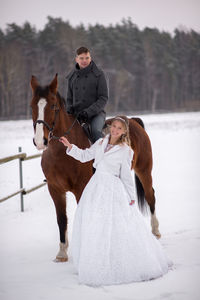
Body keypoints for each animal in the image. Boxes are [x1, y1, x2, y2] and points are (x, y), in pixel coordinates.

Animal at [29, 74, 161, 262]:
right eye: (32, 106)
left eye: (53, 106)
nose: (41, 141)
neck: (61, 154)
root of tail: (133, 121)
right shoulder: (54, 189)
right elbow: (61, 219)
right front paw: (62, 252)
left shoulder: (81, 188)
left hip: (144, 170)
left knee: (151, 196)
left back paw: (155, 231)